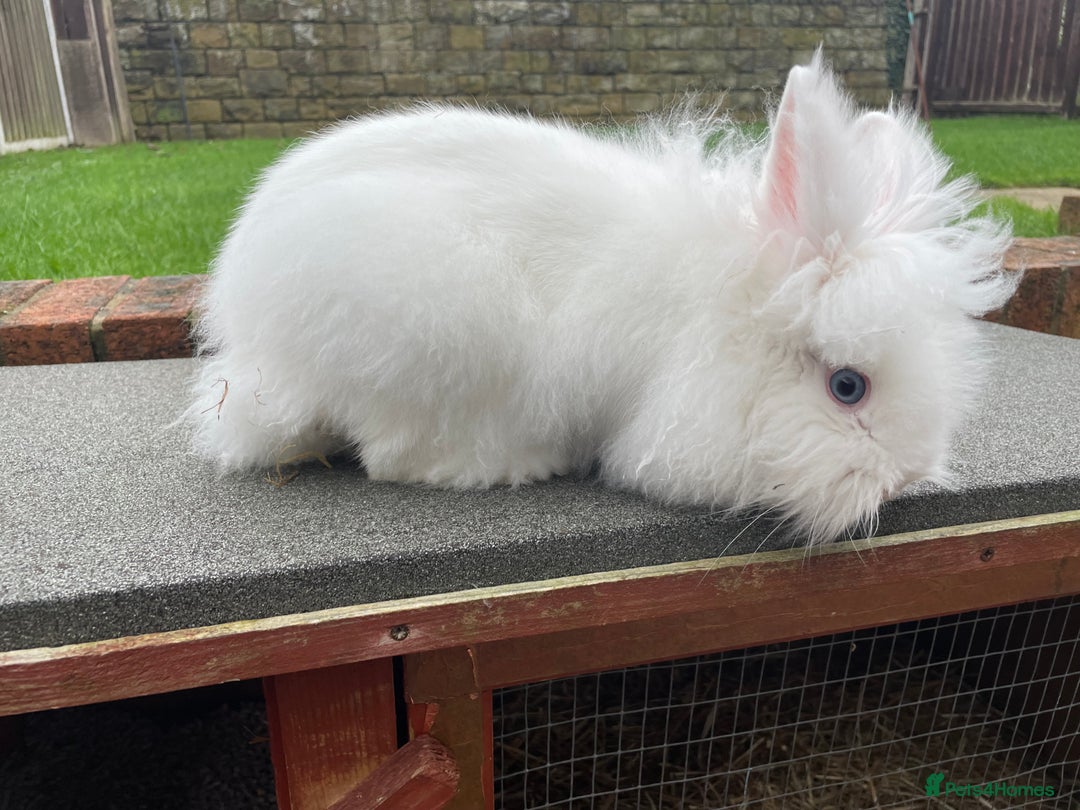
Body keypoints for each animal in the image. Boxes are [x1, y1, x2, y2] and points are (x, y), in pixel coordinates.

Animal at [187, 52, 1018, 545]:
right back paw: (512, 466)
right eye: (848, 387)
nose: (905, 478)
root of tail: (252, 343)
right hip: (437, 336)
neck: (720, 310)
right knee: (393, 454)